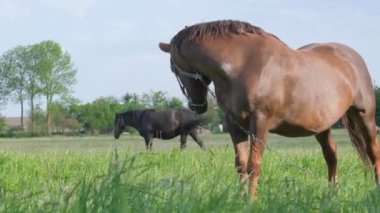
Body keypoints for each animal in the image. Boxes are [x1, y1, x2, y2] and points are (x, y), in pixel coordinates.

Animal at [160, 19, 380, 200]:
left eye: (172, 68)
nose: (196, 106)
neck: (244, 64)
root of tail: (353, 57)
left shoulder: (260, 121)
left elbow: (254, 165)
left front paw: (251, 201)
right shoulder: (234, 124)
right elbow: (240, 164)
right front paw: (239, 199)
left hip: (364, 115)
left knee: (372, 152)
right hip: (322, 126)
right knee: (332, 156)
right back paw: (332, 196)